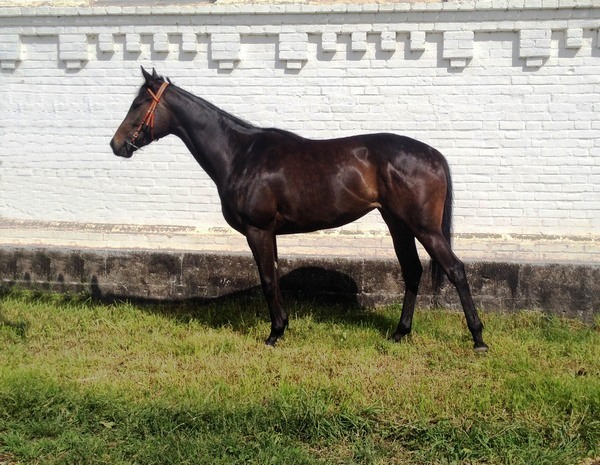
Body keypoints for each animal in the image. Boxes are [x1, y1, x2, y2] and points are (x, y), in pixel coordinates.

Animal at [110, 67, 488, 352]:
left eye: (138, 103)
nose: (117, 145)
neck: (240, 154)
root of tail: (433, 154)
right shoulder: (270, 233)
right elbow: (274, 275)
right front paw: (282, 327)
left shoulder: (258, 230)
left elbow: (266, 278)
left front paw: (274, 333)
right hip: (398, 224)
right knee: (412, 271)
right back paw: (399, 333)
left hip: (424, 227)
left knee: (455, 269)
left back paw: (478, 339)